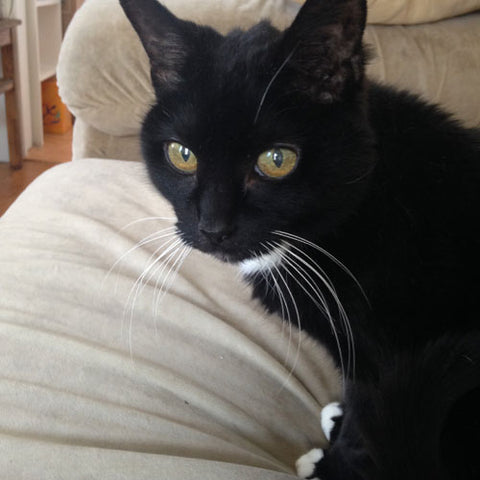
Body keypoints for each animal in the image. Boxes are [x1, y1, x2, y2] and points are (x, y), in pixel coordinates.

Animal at [118, 1, 478, 478]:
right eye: (182, 155)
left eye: (277, 160)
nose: (213, 228)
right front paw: (336, 427)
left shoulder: (380, 356)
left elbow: (365, 421)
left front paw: (331, 464)